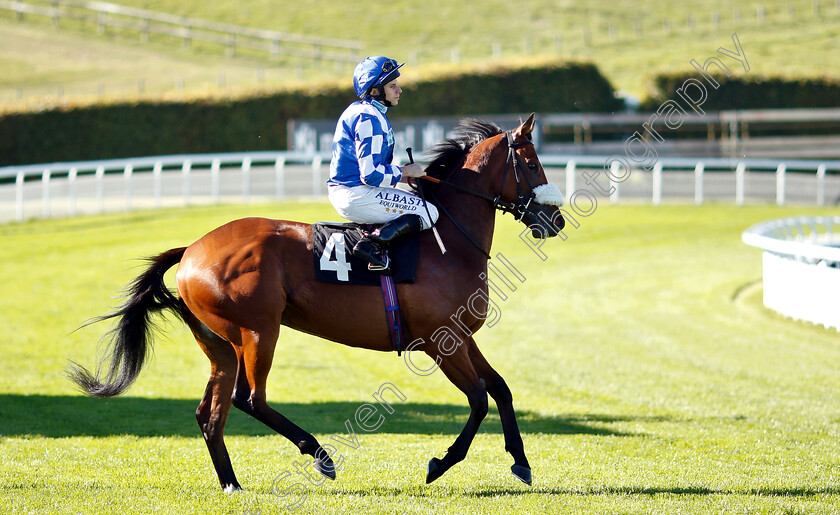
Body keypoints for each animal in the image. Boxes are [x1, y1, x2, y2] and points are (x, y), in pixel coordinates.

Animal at [67, 113, 564, 492]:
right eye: (532, 163)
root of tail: (191, 250)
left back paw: (232, 482)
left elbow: (500, 388)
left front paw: (521, 461)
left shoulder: (460, 336)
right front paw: (440, 464)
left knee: (210, 414)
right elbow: (479, 398)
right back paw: (320, 454)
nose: (555, 220)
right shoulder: (441, 342)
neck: (447, 240)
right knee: (251, 399)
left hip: (220, 345)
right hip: (258, 332)